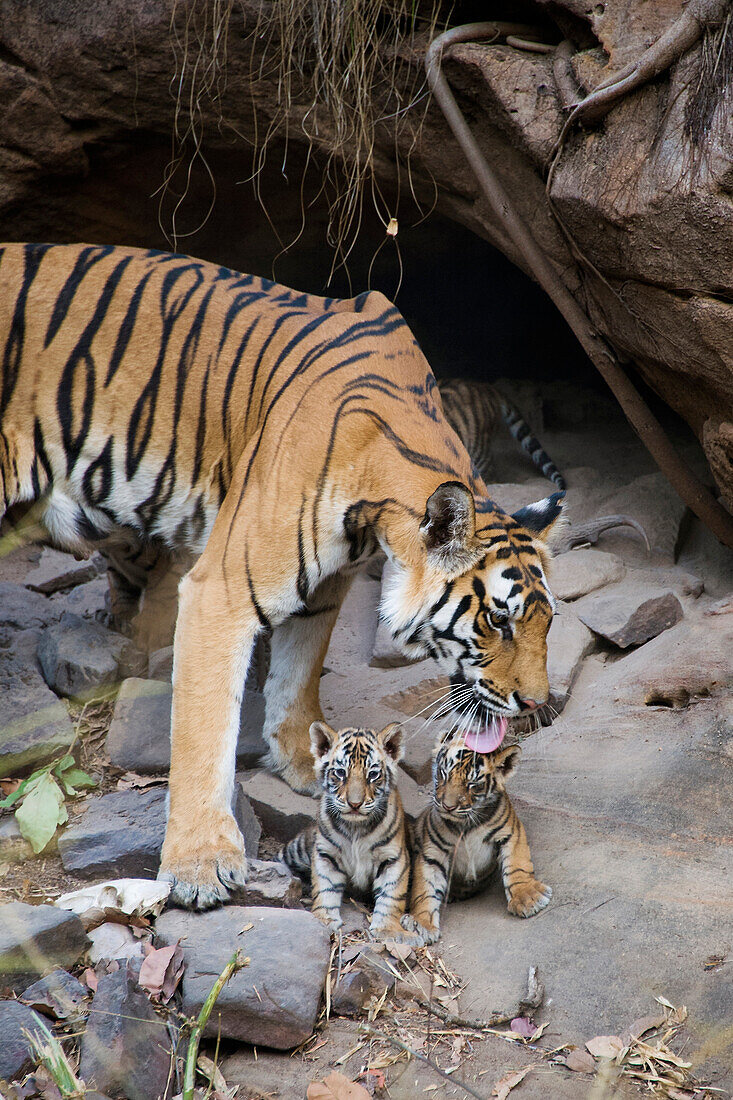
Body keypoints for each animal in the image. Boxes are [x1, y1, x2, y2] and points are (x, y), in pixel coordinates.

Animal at [0, 245, 559, 906]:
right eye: (499, 621)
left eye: (548, 624)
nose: (538, 704)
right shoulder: (220, 591)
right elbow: (204, 731)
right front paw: (199, 865)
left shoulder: (323, 585)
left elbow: (300, 669)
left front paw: (304, 760)